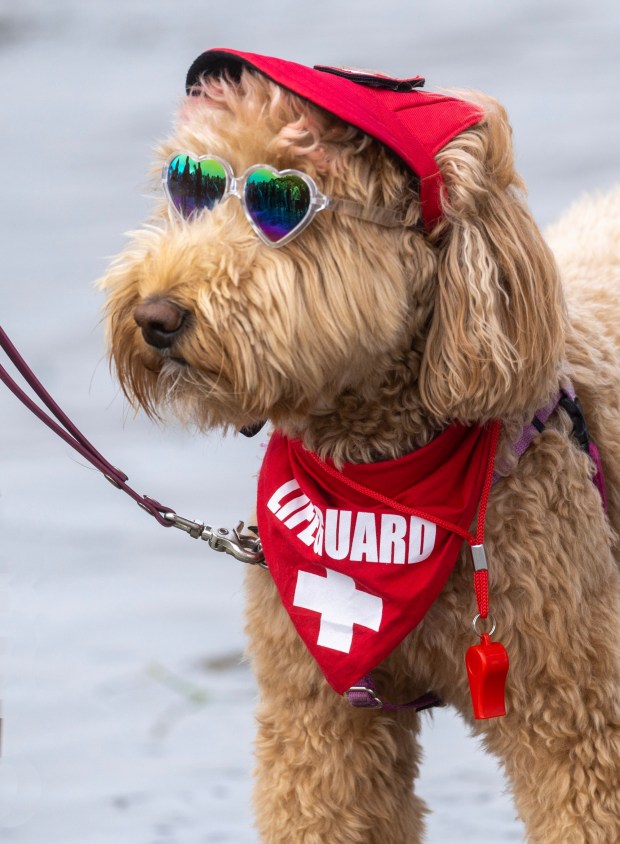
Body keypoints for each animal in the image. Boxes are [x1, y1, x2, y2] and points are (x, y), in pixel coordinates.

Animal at [99, 47, 620, 844]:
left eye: (281, 201)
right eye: (190, 187)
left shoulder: (576, 718)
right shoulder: (322, 725)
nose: (155, 316)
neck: (379, 482)